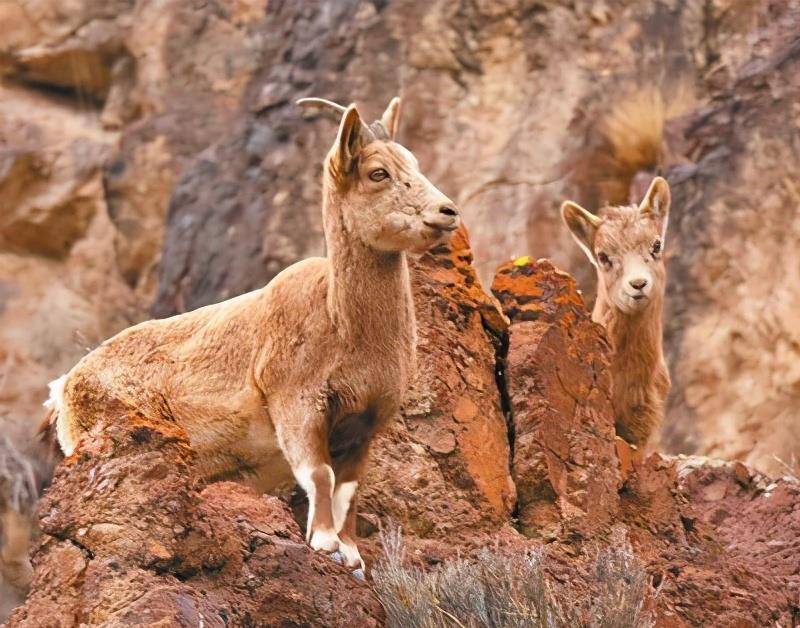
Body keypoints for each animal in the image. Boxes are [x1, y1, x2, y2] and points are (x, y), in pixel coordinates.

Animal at [47, 95, 460, 572]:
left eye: (413, 162)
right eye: (378, 173)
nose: (448, 212)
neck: (343, 324)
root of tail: (65, 388)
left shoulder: (365, 425)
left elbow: (348, 489)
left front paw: (352, 554)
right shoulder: (298, 405)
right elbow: (320, 475)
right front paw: (324, 543)